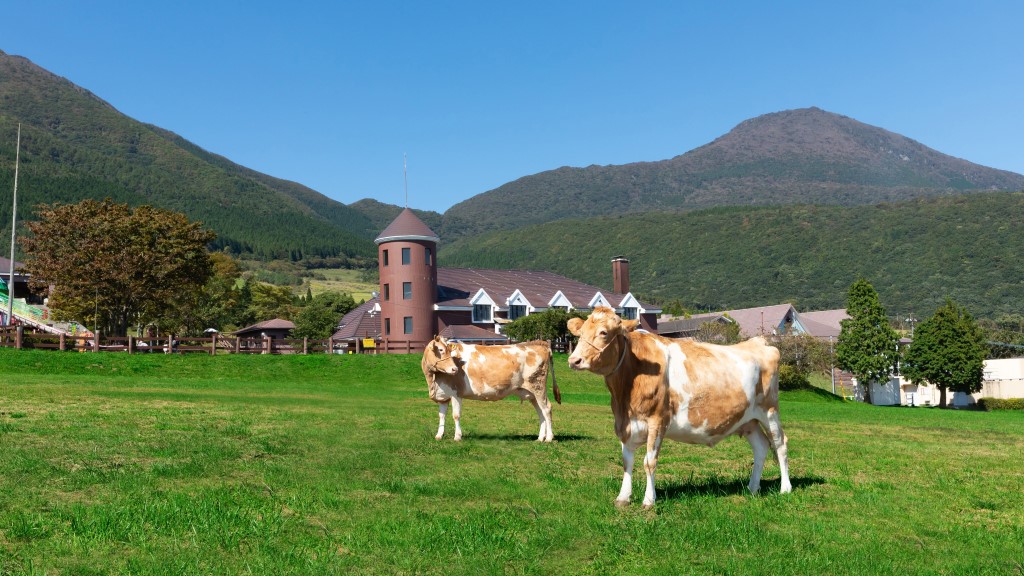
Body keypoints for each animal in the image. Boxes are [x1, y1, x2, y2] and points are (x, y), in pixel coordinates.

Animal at [417, 336, 561, 438]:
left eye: (449, 351)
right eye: (441, 350)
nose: (454, 369)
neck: (433, 380)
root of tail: (539, 343)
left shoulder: (456, 393)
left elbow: (456, 415)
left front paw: (457, 436)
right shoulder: (443, 396)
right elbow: (442, 416)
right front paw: (439, 435)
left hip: (538, 387)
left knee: (547, 409)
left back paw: (549, 438)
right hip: (532, 394)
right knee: (540, 412)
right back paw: (540, 438)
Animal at [569, 307, 790, 504]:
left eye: (603, 332)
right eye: (580, 333)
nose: (574, 360)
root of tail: (758, 342)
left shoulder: (657, 420)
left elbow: (649, 462)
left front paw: (649, 500)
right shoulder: (626, 423)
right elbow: (627, 461)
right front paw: (623, 498)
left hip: (769, 411)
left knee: (780, 444)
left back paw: (785, 488)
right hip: (749, 420)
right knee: (761, 447)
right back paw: (752, 488)